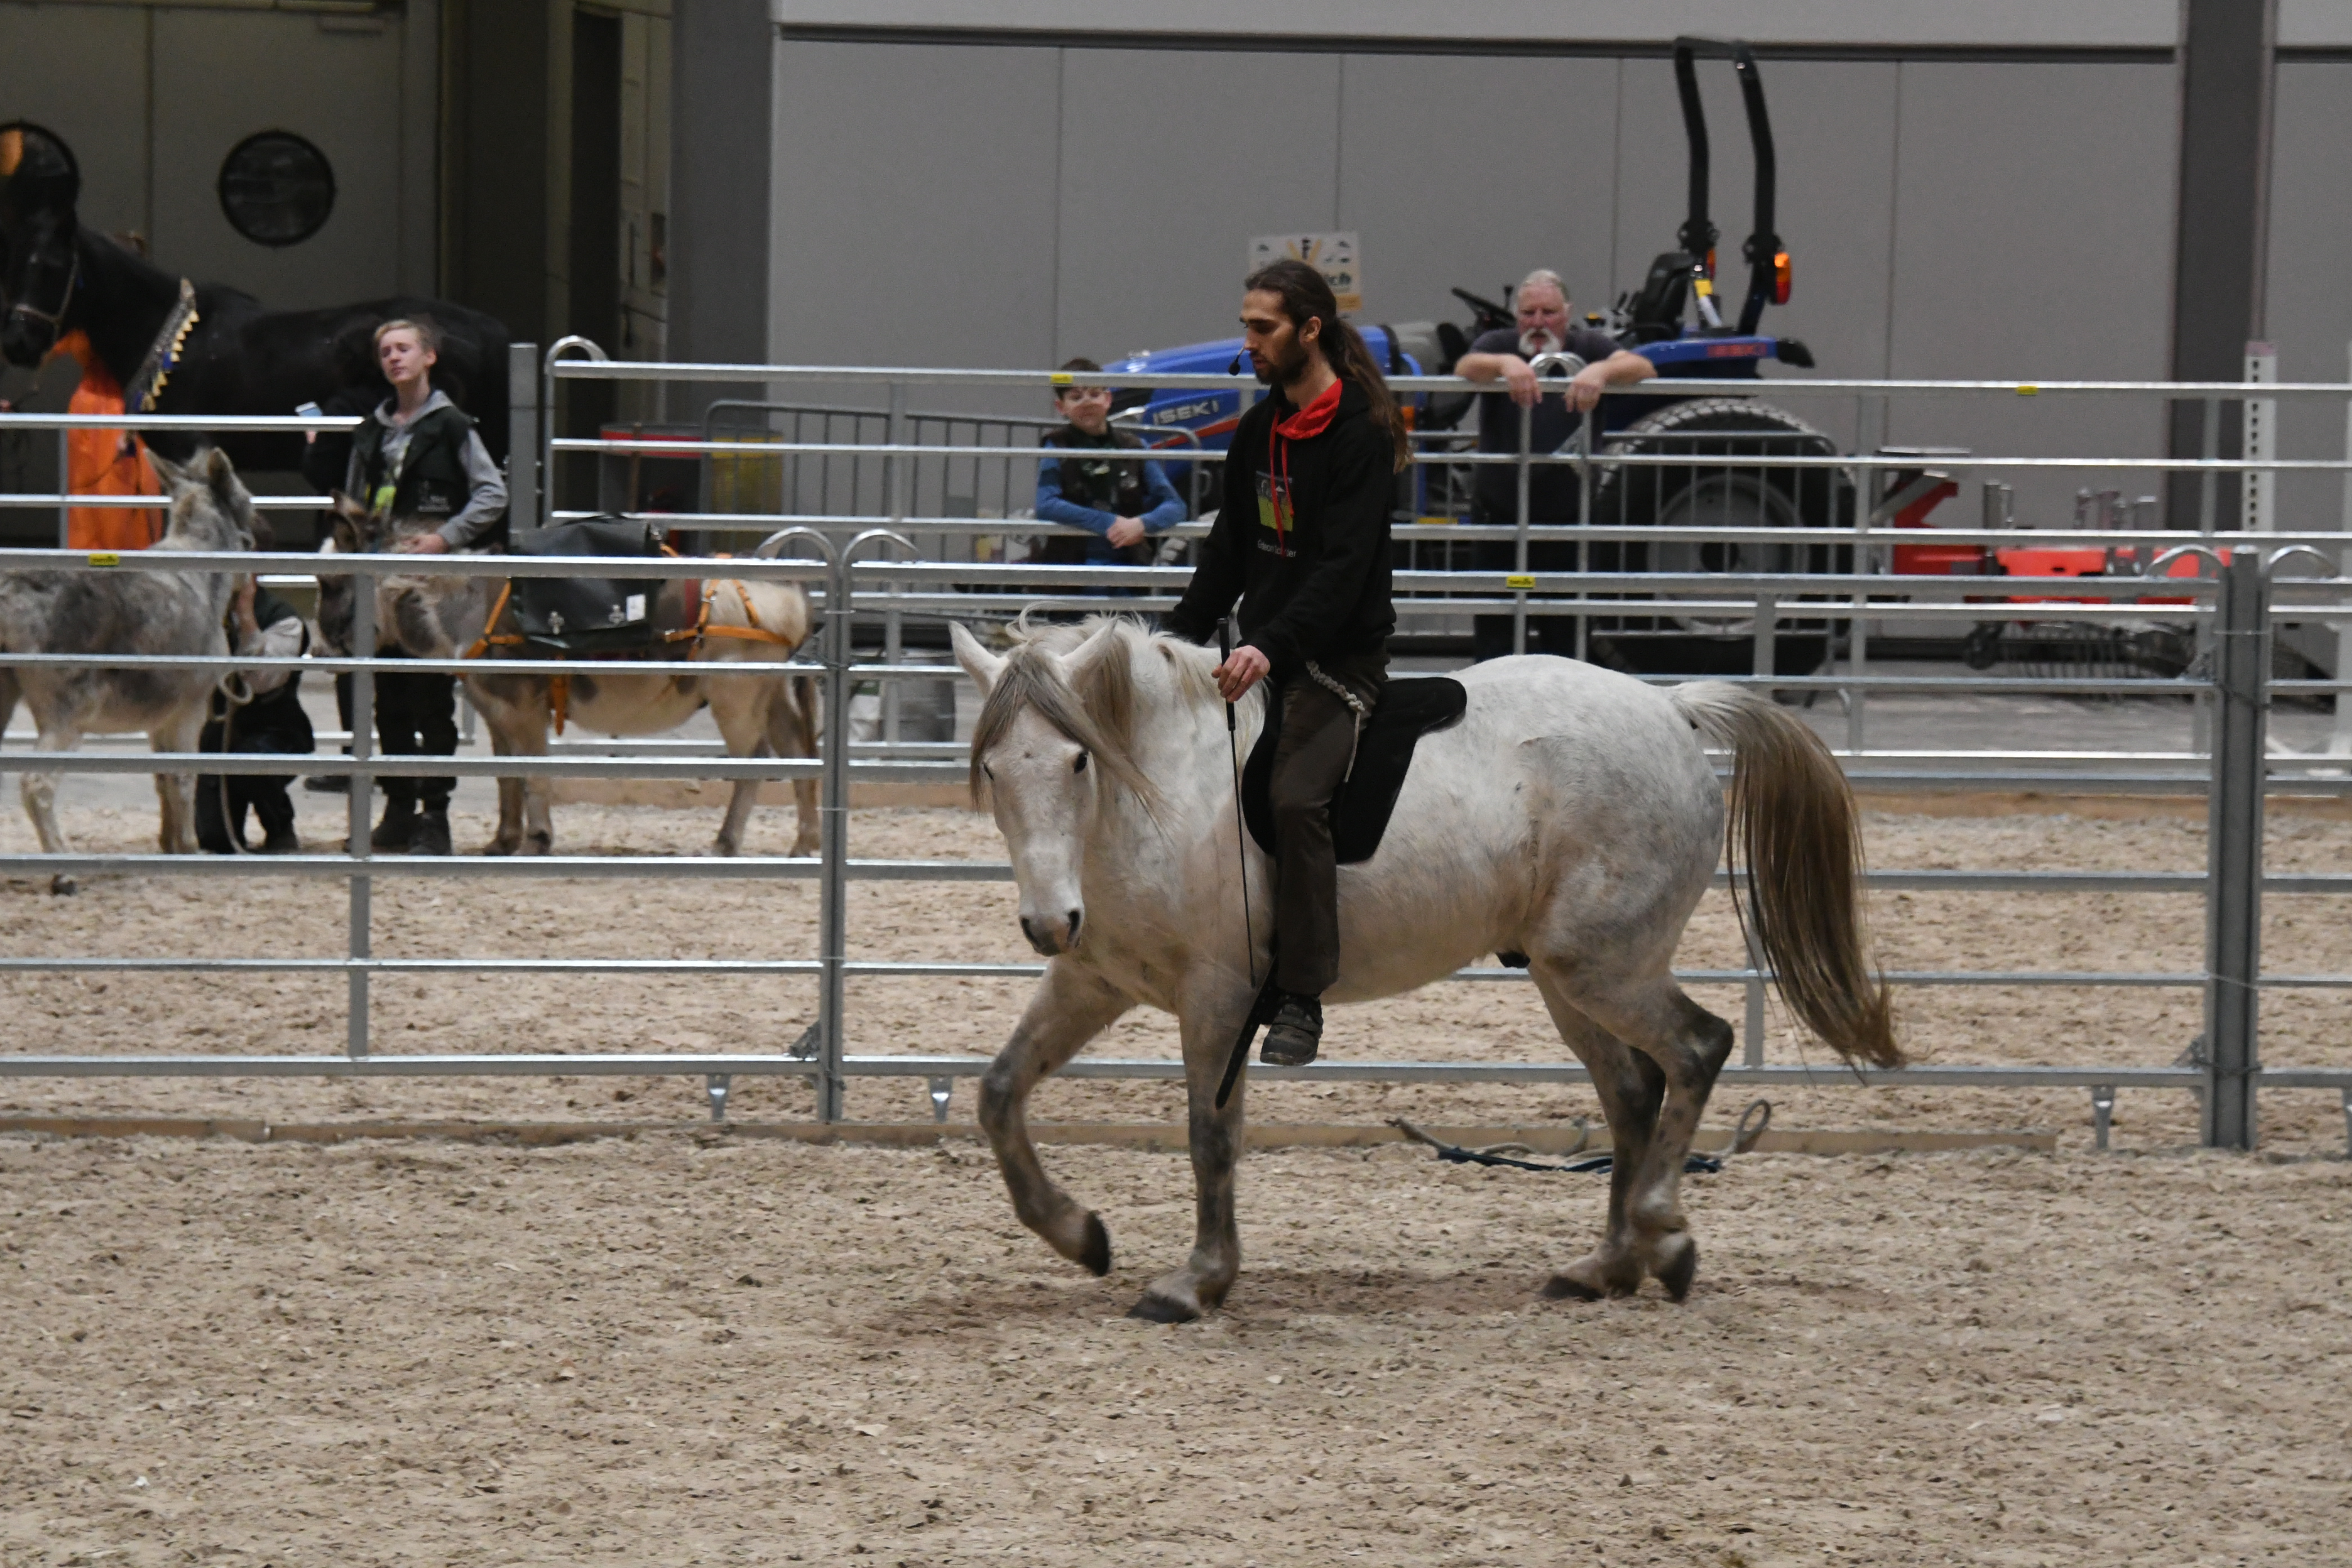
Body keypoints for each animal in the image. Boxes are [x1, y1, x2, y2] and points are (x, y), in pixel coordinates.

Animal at [0, 448, 258, 892]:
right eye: (249, 502)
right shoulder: (190, 708)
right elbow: (185, 777)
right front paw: (190, 849)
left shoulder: (160, 717)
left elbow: (162, 777)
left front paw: (168, 845)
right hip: (67, 715)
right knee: (37, 784)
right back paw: (64, 872)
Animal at [1, 120, 509, 477]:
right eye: (10, 264)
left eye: (50, 267)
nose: (18, 344)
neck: (172, 340)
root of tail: (489, 331)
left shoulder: (189, 455)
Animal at [319, 502, 820, 858]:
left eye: (332, 582)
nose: (322, 654)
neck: (466, 603)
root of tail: (786, 594)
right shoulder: (495, 710)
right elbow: (505, 776)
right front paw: (502, 840)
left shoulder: (522, 709)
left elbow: (532, 774)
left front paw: (536, 839)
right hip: (773, 696)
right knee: (799, 756)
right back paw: (804, 845)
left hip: (734, 697)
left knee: (755, 762)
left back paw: (725, 843)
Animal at [948, 616, 1899, 1321]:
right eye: (992, 768)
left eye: (1078, 760)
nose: (1048, 922)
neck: (1165, 791)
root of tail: (1673, 710)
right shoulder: (1093, 982)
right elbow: (999, 1092)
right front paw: (1079, 1235)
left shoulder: (1217, 998)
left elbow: (1210, 1138)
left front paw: (1197, 1282)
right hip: (1569, 976)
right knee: (1633, 1092)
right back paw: (1605, 1267)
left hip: (1604, 967)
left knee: (1699, 1048)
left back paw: (1661, 1232)